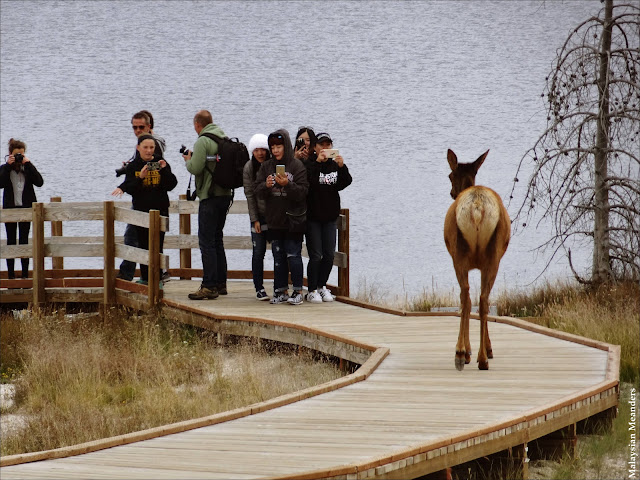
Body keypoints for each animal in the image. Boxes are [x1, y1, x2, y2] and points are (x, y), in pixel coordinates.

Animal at [444, 150, 510, 372]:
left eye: (450, 175)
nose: (452, 193)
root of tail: (477, 208)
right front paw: (483, 350)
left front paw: (470, 350)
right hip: (491, 257)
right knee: (480, 300)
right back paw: (478, 357)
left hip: (460, 256)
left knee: (469, 298)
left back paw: (464, 354)